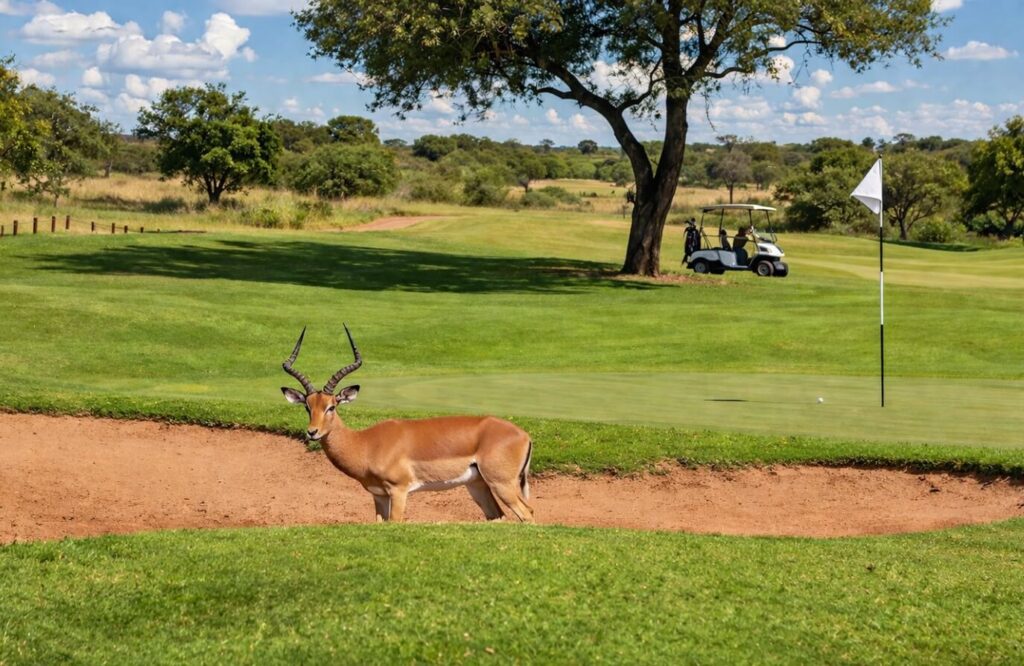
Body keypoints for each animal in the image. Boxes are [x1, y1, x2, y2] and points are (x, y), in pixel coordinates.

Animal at [280, 326, 534, 523]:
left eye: (331, 406)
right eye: (307, 406)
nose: (312, 432)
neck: (365, 444)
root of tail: (524, 435)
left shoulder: (399, 490)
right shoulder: (379, 495)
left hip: (502, 484)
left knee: (528, 513)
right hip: (478, 485)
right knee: (499, 516)